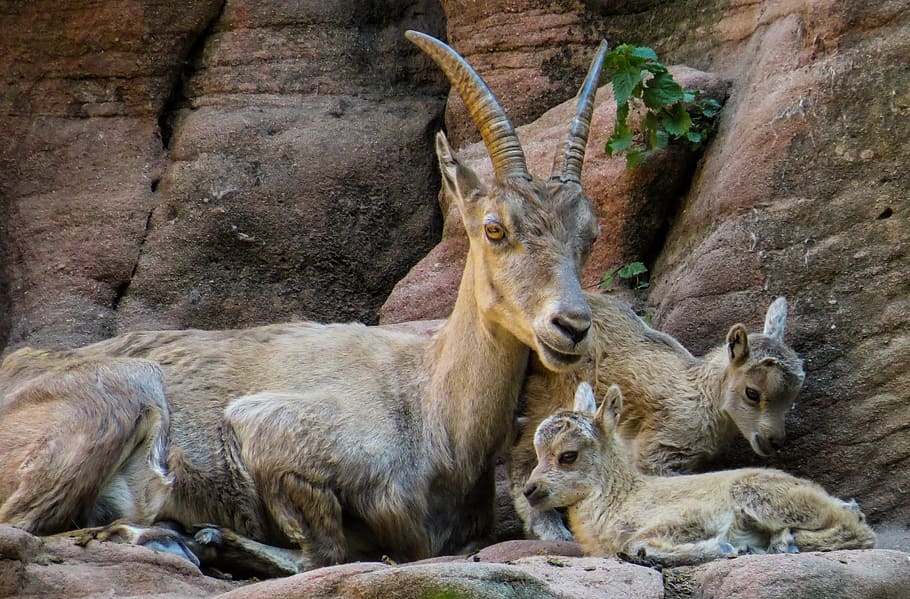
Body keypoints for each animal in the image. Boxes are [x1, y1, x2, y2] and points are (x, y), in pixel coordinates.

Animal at [0, 31, 610, 577]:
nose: (571, 325)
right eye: (494, 228)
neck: (433, 412)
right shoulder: (270, 428)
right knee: (22, 525)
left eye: (591, 233)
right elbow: (325, 549)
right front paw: (215, 539)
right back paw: (162, 539)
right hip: (121, 390)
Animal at [509, 293, 806, 541]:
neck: (701, 397)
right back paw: (549, 527)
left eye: (794, 396)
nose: (773, 440)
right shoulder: (657, 451)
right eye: (752, 393)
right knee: (522, 458)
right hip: (551, 396)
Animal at [523, 382, 875, 566]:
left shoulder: (692, 516)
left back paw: (781, 544)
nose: (531, 490)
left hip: (761, 495)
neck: (621, 500)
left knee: (859, 530)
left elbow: (636, 545)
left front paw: (727, 548)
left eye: (568, 456)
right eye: (538, 453)